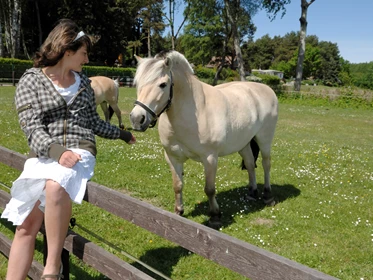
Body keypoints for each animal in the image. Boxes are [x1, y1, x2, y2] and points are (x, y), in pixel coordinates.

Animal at [129, 51, 278, 228]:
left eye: (163, 84)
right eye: (137, 83)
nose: (137, 119)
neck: (193, 113)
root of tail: (266, 89)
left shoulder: (210, 158)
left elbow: (210, 189)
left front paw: (215, 216)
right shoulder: (173, 157)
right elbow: (177, 185)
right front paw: (178, 211)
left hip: (264, 139)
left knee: (266, 164)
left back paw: (268, 196)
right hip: (244, 143)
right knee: (249, 163)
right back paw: (252, 193)